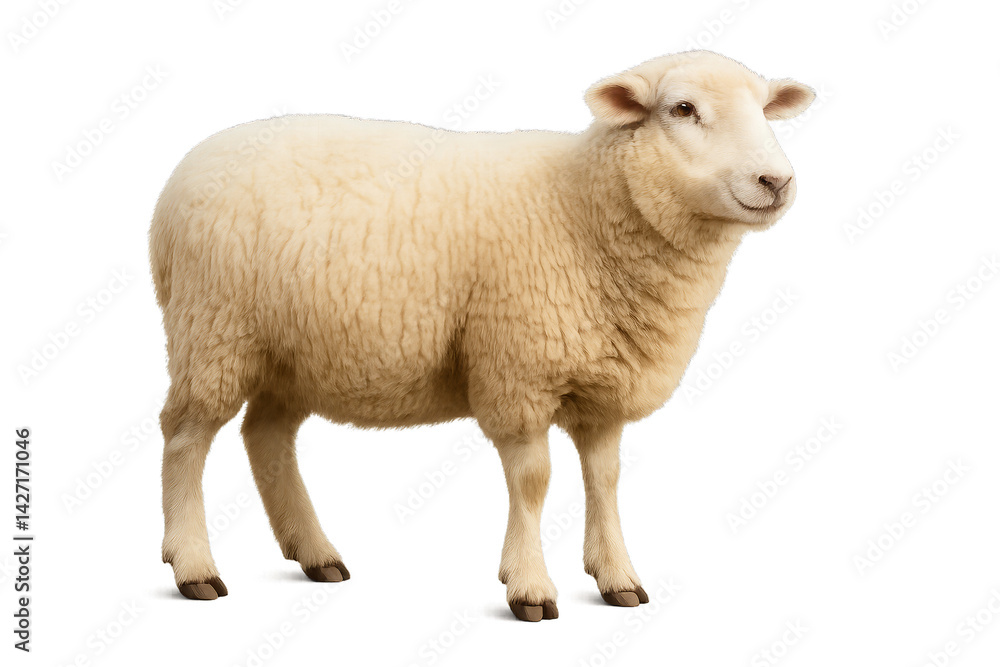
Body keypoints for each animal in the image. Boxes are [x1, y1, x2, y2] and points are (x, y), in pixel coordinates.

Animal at [150, 49, 814, 621]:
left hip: (287, 353)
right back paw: (194, 567)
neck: (584, 206)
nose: (776, 181)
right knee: (185, 438)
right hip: (212, 329)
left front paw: (618, 577)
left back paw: (315, 553)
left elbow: (604, 480)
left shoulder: (604, 385)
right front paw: (529, 587)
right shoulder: (516, 369)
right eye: (682, 108)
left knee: (266, 436)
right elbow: (534, 480)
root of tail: (178, 179)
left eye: (764, 108)